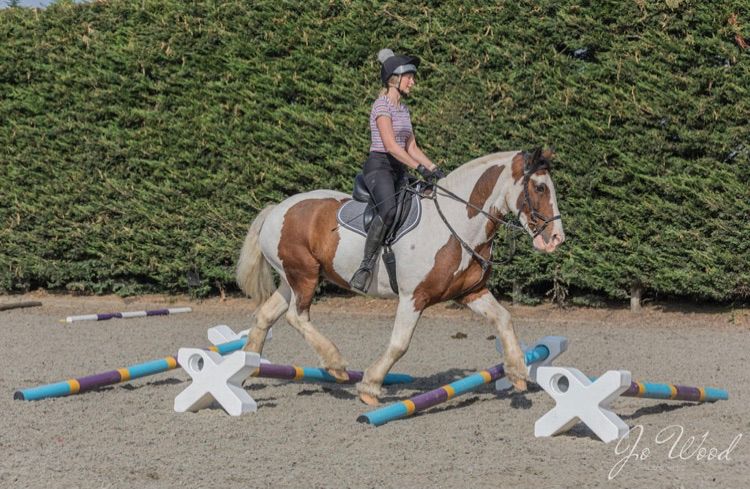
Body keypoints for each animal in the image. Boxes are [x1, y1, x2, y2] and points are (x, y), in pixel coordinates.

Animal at [238, 148, 568, 404]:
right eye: (540, 188)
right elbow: (400, 343)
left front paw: (517, 371)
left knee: (266, 315)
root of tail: (277, 208)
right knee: (297, 316)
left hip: (291, 280)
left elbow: (504, 319)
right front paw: (370, 386)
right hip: (304, 276)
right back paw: (335, 363)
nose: (556, 238)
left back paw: (247, 369)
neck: (456, 225)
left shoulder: (470, 292)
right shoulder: (413, 297)